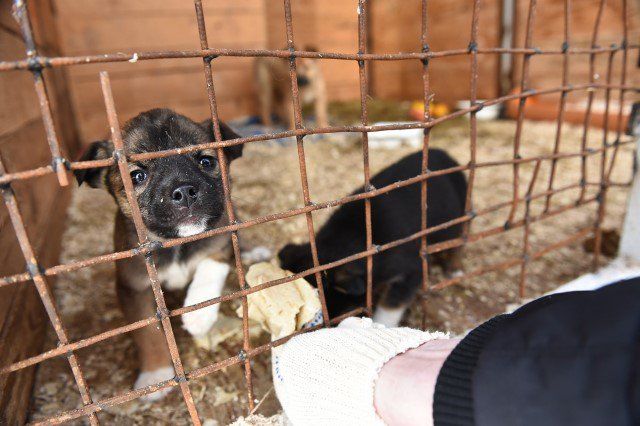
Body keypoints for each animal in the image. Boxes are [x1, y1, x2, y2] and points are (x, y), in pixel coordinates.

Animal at [76, 108, 268, 402]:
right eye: (137, 177)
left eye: (206, 161)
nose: (185, 192)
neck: (176, 244)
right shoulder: (134, 289)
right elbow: (150, 333)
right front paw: (155, 375)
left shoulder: (221, 241)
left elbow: (209, 269)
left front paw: (199, 316)